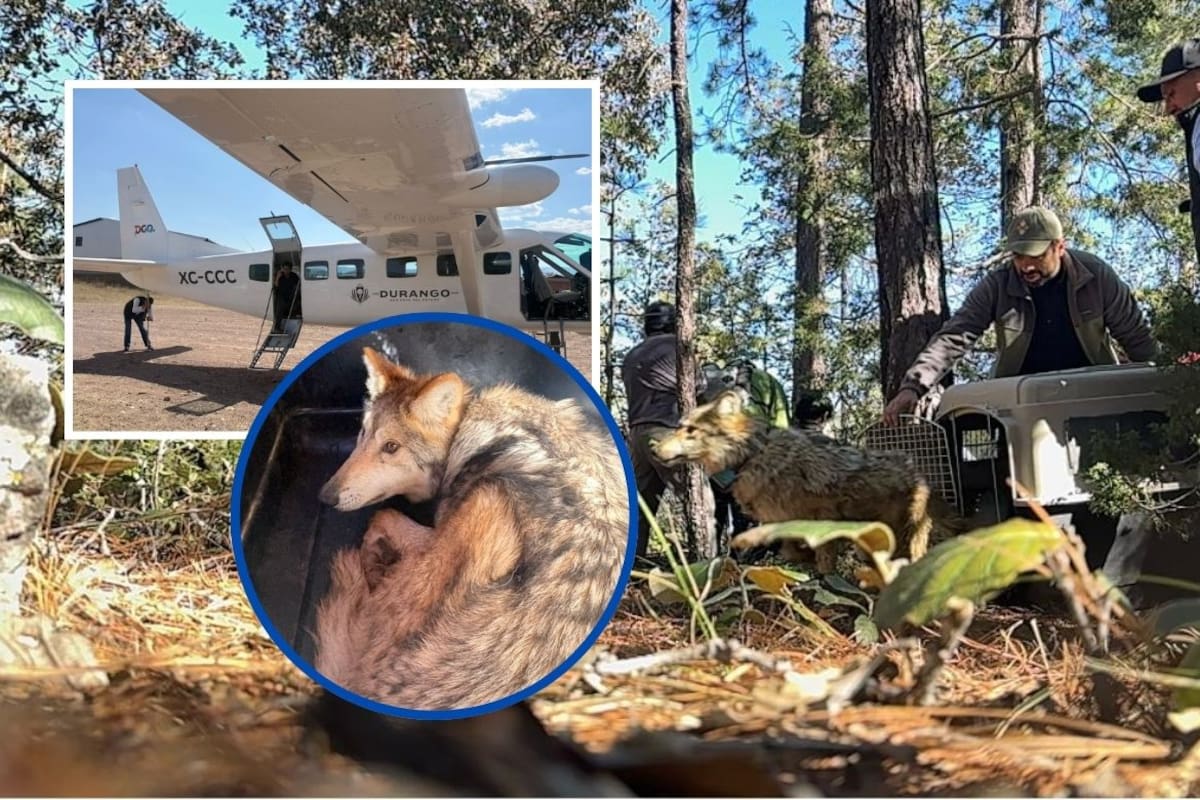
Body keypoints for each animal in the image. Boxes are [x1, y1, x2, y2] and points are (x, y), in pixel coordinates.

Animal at [314, 347, 628, 711]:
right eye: (363, 434)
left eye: (391, 447)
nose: (325, 497)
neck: (469, 427)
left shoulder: (440, 526)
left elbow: (383, 515)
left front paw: (372, 555)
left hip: (485, 500)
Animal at [651, 390, 958, 571]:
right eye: (679, 427)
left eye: (690, 430)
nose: (653, 449)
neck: (752, 456)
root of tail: (922, 477)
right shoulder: (783, 525)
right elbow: (790, 551)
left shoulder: (824, 523)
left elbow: (821, 561)